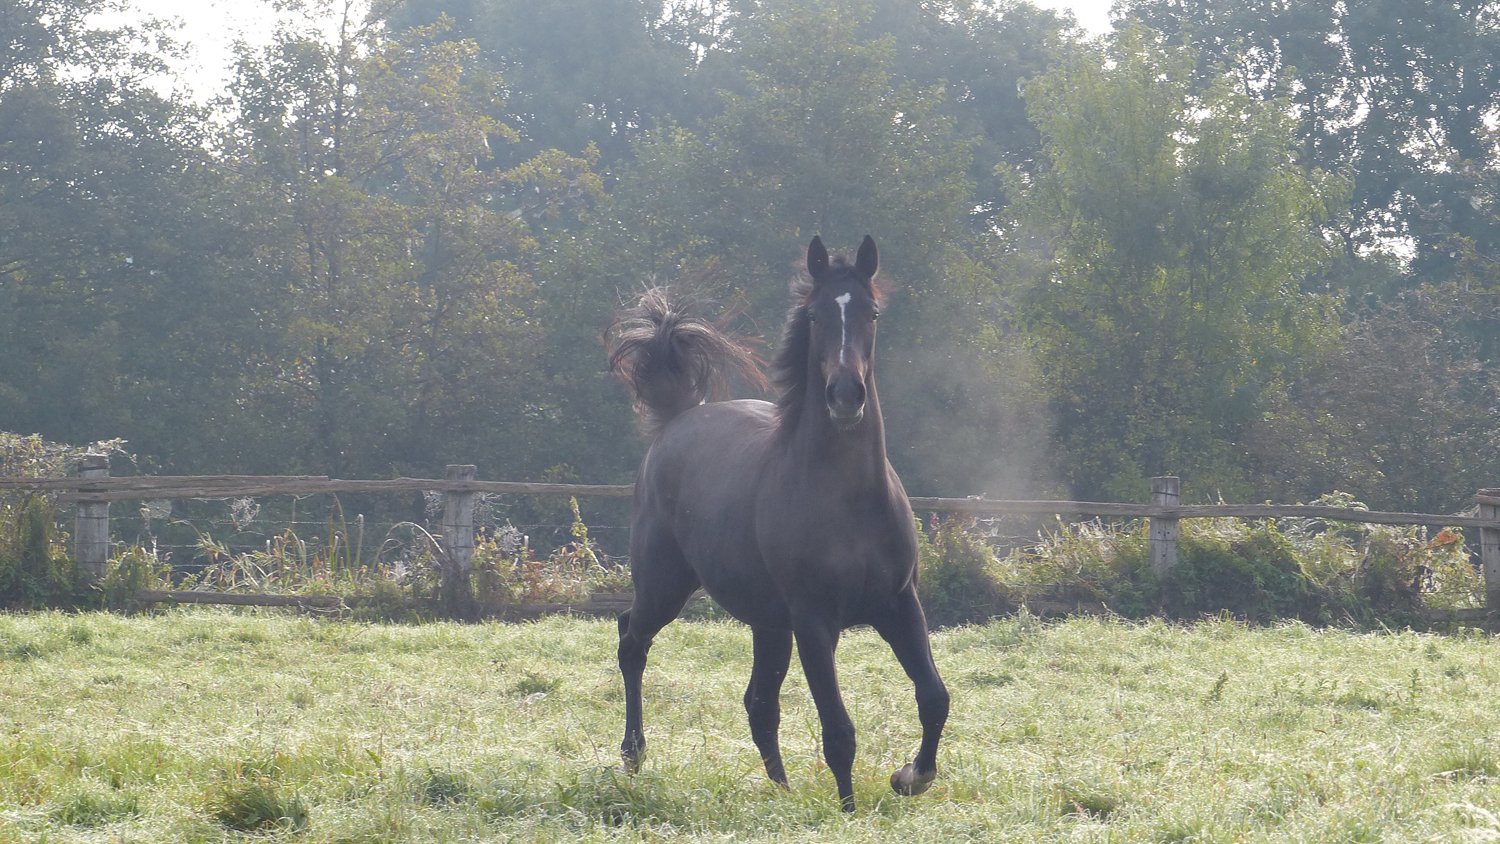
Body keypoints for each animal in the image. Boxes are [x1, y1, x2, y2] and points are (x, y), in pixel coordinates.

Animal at [605, 235, 949, 812]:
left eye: (871, 313)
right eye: (814, 315)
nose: (845, 396)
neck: (849, 502)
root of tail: (677, 418)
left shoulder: (900, 604)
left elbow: (933, 697)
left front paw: (909, 778)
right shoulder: (813, 621)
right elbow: (839, 730)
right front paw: (849, 812)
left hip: (768, 623)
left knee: (759, 702)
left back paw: (782, 791)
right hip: (666, 587)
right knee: (631, 641)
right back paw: (633, 756)